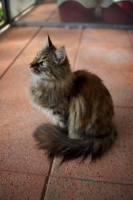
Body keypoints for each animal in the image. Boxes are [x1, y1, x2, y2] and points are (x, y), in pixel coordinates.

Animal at [28, 34, 116, 162]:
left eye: (43, 63)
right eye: (35, 57)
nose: (30, 65)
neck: (48, 84)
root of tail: (109, 129)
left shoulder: (61, 114)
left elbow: (62, 127)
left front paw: (59, 136)